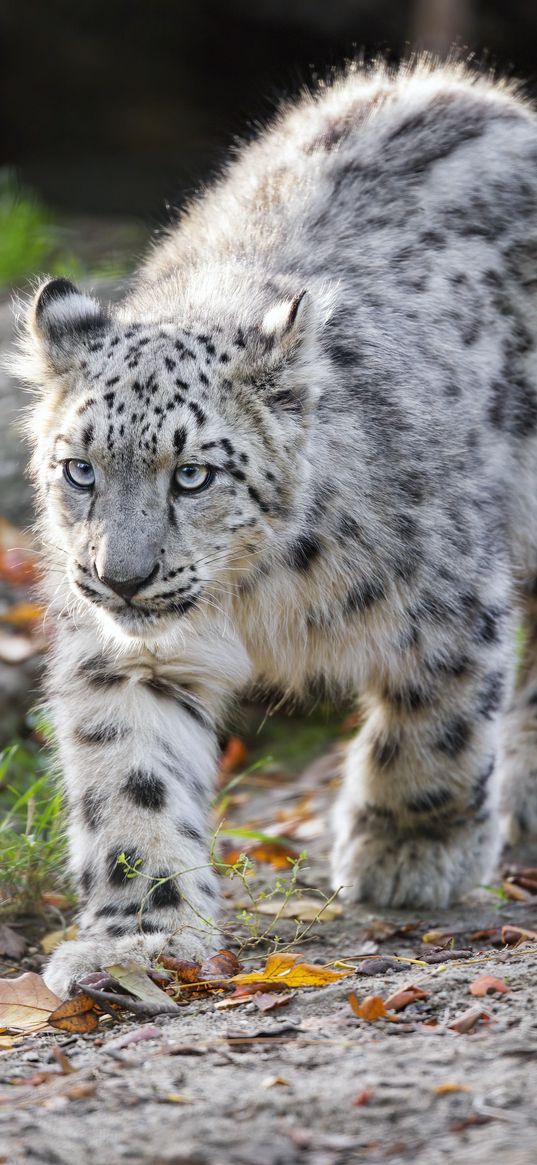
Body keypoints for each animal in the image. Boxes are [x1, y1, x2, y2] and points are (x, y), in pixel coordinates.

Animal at [13, 59, 537, 997]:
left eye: (192, 473)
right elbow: (131, 778)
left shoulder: (446, 598)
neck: (252, 594)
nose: (121, 576)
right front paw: (137, 937)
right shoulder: (121, 655)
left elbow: (436, 717)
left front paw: (409, 850)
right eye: (80, 468)